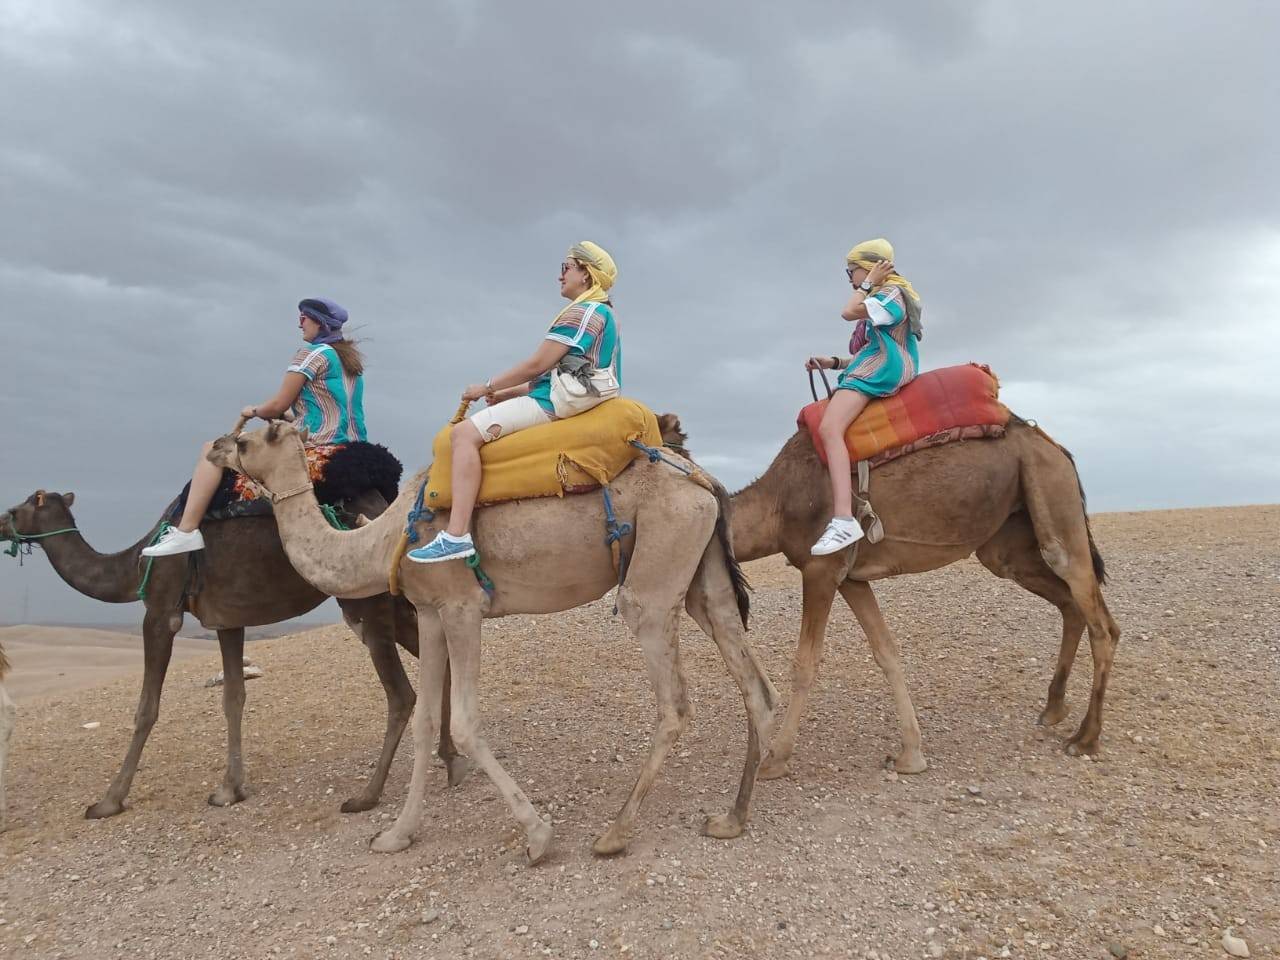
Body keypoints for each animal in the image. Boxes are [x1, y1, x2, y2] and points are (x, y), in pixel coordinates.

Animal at [0, 496, 465, 819]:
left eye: (16, 508)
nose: (1, 524)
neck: (133, 565)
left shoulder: (161, 612)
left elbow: (147, 708)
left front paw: (108, 801)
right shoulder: (227, 620)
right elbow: (234, 697)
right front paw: (230, 790)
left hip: (365, 601)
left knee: (402, 693)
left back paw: (368, 795)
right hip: (394, 597)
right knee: (436, 660)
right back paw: (450, 761)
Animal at [211, 401, 773, 870]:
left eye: (247, 441)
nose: (215, 446)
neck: (383, 538)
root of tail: (703, 479)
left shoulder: (463, 608)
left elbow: (462, 722)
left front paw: (539, 837)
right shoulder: (430, 611)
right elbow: (425, 722)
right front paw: (395, 835)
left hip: (655, 575)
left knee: (672, 698)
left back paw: (614, 833)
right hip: (702, 573)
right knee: (753, 682)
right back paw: (732, 818)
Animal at [660, 414, 1121, 783]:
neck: (776, 505)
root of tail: (1056, 447)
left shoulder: (820, 569)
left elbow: (805, 664)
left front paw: (776, 759)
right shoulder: (850, 578)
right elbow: (887, 652)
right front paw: (910, 755)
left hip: (1051, 494)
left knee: (1101, 621)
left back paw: (1086, 738)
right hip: (1008, 542)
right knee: (1070, 605)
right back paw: (1054, 708)